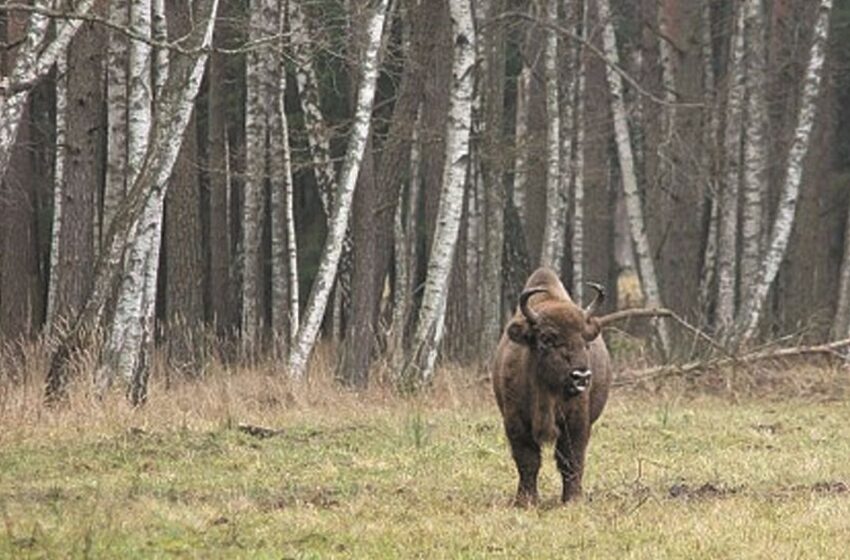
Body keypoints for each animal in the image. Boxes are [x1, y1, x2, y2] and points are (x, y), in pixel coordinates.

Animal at [490, 268, 608, 508]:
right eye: (547, 339)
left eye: (586, 341)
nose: (581, 377)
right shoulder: (515, 422)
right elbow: (527, 460)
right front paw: (525, 501)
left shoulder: (577, 423)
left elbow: (571, 460)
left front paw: (573, 500)